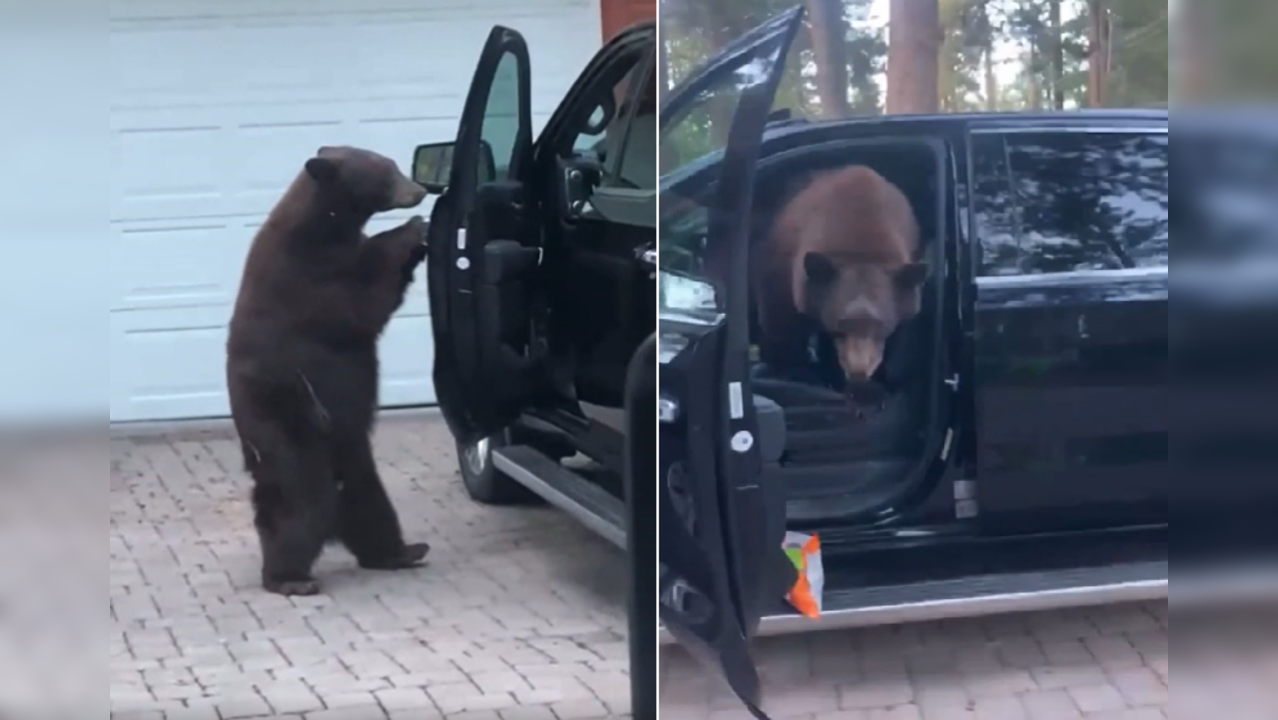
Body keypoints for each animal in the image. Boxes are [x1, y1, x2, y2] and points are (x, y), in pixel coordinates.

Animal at [227, 146, 431, 598]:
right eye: (385, 172)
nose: (420, 190)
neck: (324, 227)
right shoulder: (306, 278)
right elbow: (361, 305)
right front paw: (409, 232)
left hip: (349, 449)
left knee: (366, 500)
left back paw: (401, 550)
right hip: (287, 427)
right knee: (300, 502)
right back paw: (290, 576)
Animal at [746, 164, 930, 399]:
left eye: (880, 328)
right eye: (840, 327)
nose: (859, 373)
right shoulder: (785, 267)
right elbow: (780, 323)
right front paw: (794, 371)